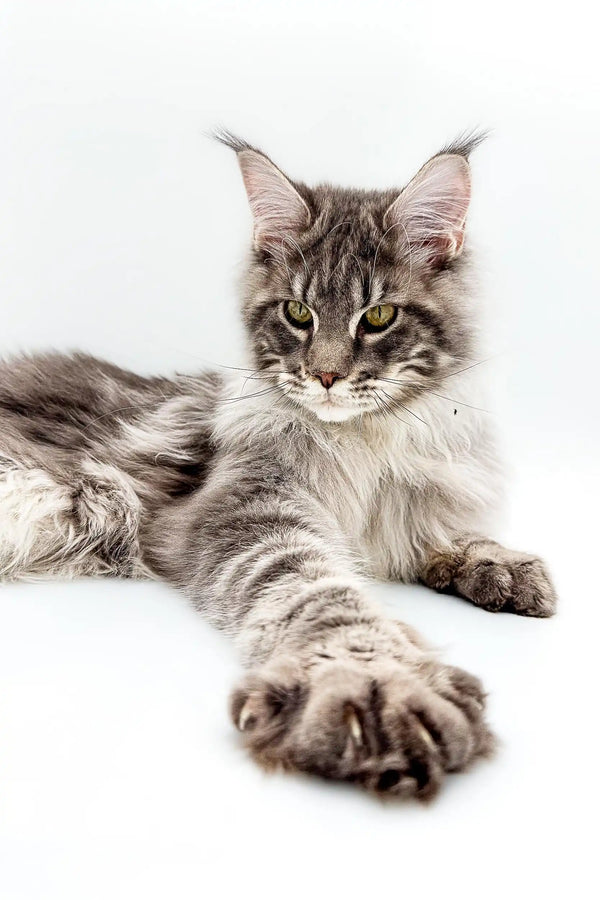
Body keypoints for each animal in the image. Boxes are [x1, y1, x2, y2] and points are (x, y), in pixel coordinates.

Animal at [0, 130, 556, 800]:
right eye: (297, 313)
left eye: (378, 317)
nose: (325, 376)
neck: (365, 443)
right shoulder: (249, 506)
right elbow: (313, 588)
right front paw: (368, 680)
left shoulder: (412, 501)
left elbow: (443, 534)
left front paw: (496, 563)